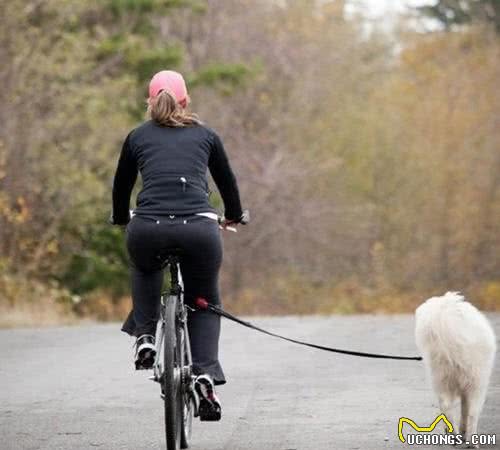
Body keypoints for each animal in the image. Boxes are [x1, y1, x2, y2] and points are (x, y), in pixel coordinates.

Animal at [416, 292, 494, 446]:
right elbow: (466, 410)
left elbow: (462, 409)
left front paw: (459, 431)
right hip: (478, 383)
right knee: (473, 412)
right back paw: (471, 442)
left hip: (440, 377)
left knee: (446, 406)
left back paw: (455, 437)